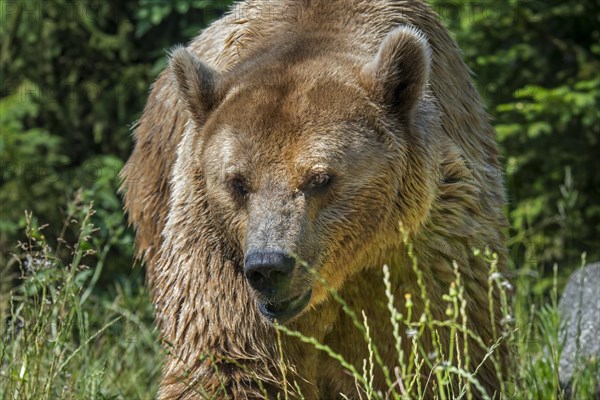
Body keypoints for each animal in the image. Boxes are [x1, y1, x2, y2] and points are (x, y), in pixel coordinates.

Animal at [120, 0, 510, 396]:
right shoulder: (218, 251)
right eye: (238, 182)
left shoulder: (419, 247)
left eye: (319, 178)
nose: (268, 266)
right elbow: (230, 363)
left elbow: (439, 347)